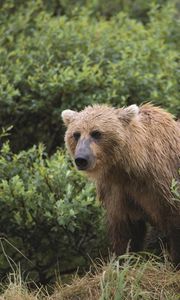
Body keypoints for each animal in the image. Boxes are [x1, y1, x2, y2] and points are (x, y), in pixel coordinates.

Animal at [61, 103, 180, 268]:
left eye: (96, 133)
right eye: (76, 134)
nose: (81, 159)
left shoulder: (163, 183)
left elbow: (174, 220)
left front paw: (174, 261)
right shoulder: (117, 191)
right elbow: (126, 230)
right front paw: (124, 261)